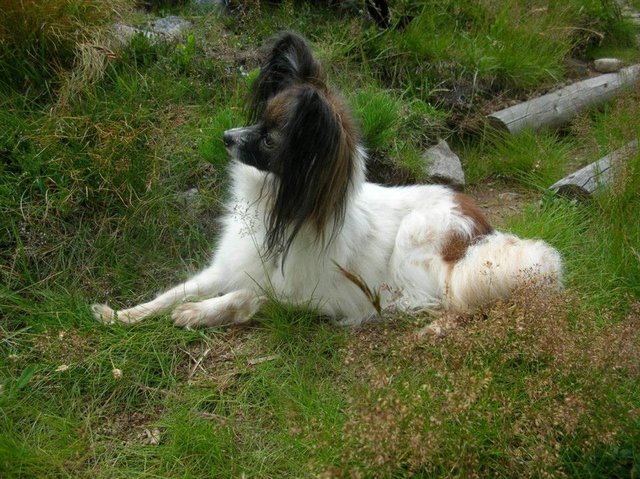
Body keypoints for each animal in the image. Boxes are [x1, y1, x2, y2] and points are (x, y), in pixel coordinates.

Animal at [92, 31, 564, 328]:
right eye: (259, 121)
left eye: (269, 140)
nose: (225, 137)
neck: (280, 207)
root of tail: (482, 227)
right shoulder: (230, 265)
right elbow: (174, 291)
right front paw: (122, 315)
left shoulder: (316, 296)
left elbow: (247, 296)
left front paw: (200, 312)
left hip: (416, 245)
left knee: (442, 303)